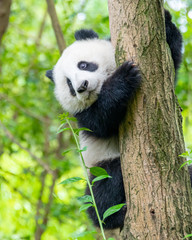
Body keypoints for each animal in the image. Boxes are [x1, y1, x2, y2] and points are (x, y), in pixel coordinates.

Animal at [45, 9, 184, 230]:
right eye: (69, 85)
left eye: (83, 64)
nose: (82, 87)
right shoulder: (82, 115)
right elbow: (101, 120)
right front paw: (124, 78)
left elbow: (171, 60)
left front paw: (165, 19)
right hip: (99, 165)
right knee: (103, 189)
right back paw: (113, 216)